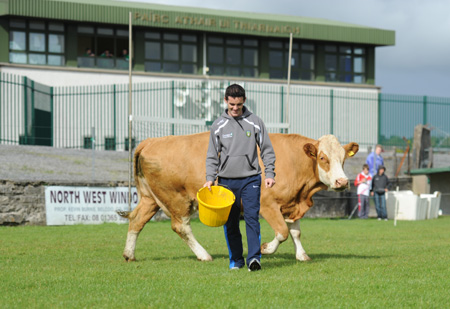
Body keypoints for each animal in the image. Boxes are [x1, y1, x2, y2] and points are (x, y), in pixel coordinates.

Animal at [117, 132, 358, 260]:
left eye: (343, 158)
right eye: (322, 158)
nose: (342, 182)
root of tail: (151, 141)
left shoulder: (292, 204)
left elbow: (295, 232)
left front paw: (302, 255)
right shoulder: (267, 204)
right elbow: (282, 232)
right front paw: (266, 249)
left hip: (150, 199)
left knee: (136, 220)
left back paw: (129, 254)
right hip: (177, 198)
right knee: (181, 227)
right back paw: (203, 254)